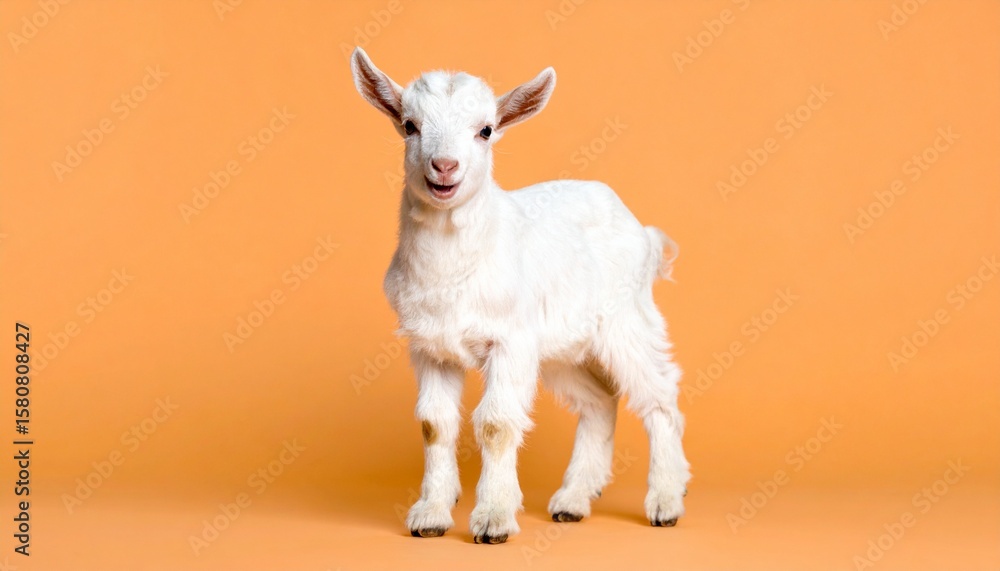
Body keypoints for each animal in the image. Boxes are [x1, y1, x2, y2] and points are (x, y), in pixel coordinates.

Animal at [350, 47, 690, 544]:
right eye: (409, 125)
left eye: (486, 130)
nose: (445, 167)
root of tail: (640, 230)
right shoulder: (430, 346)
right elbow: (435, 425)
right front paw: (431, 514)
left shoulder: (509, 341)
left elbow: (495, 424)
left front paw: (493, 518)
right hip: (562, 347)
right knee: (600, 400)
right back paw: (573, 500)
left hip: (627, 320)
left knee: (660, 397)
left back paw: (665, 500)